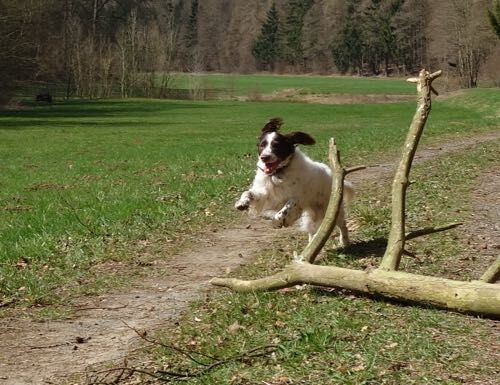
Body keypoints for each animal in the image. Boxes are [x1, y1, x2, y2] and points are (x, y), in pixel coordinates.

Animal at [236, 117, 354, 246]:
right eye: (262, 145)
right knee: (312, 230)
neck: (278, 173)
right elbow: (249, 193)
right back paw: (311, 245)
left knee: (342, 225)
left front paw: (277, 222)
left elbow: (287, 207)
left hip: (330, 210)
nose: (264, 157)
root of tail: (331, 174)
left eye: (276, 146)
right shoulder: (265, 194)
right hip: (311, 215)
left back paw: (344, 241)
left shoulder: (297, 199)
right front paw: (242, 203)